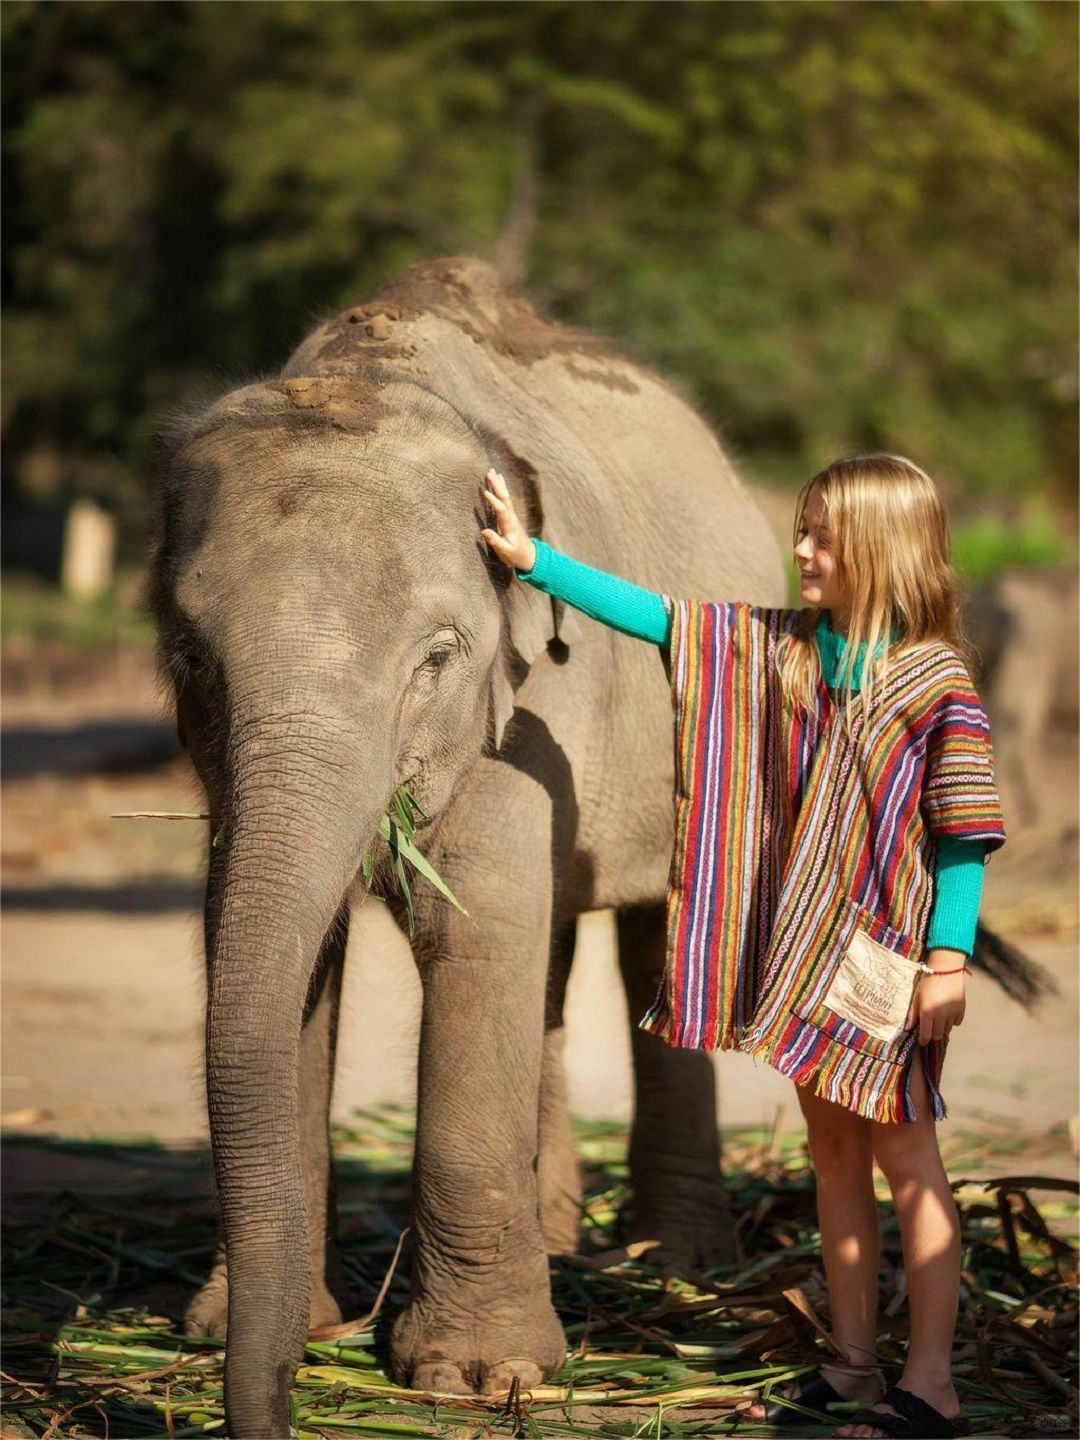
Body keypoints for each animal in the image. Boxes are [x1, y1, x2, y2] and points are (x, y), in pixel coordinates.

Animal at [146, 259, 789, 1440]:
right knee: (551, 955)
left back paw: (673, 1262)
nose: (265, 1409)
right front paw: (245, 1329)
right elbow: (269, 951)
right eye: (190, 656)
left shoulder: (532, 703)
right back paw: (561, 1237)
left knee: (648, 934)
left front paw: (479, 1377)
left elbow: (474, 933)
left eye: (437, 657)